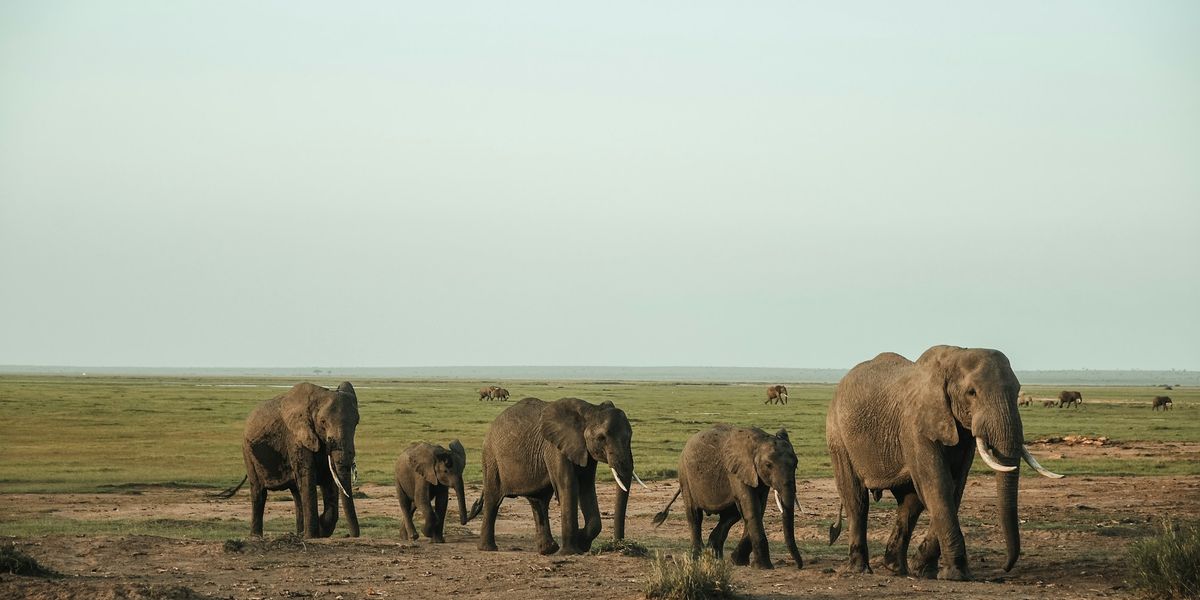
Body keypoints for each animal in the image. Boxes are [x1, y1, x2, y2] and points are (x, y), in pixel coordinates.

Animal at [219, 382, 360, 538]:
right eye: (323, 422)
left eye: (356, 422)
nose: (353, 535)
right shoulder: (295, 438)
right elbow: (307, 477)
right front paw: (312, 536)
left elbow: (329, 479)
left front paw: (318, 529)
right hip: (247, 452)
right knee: (259, 492)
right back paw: (256, 537)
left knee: (297, 494)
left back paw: (299, 533)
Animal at [470, 397, 645, 555]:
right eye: (601, 438)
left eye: (630, 436)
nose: (619, 546)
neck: (590, 410)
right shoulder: (555, 447)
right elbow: (568, 485)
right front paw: (571, 551)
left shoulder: (584, 451)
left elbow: (587, 486)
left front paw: (581, 543)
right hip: (491, 458)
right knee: (493, 499)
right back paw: (488, 548)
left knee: (538, 501)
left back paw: (548, 550)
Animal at [652, 424, 803, 570]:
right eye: (768, 465)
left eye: (796, 464)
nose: (799, 566)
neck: (759, 441)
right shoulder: (736, 471)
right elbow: (751, 507)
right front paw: (764, 567)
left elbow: (758, 508)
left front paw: (738, 562)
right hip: (685, 475)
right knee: (694, 514)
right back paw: (698, 557)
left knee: (730, 515)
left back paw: (714, 556)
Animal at [826, 346, 1063, 581]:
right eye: (972, 393)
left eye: (1017, 391)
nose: (1005, 568)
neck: (954, 358)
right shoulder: (915, 425)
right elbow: (938, 485)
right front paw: (957, 575)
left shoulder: (962, 435)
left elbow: (954, 488)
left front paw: (924, 569)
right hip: (837, 434)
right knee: (857, 500)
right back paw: (859, 569)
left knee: (910, 503)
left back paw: (895, 568)